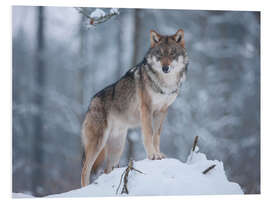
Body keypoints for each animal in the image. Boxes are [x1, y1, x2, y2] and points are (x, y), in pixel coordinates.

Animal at [81, 29, 189, 187]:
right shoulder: (146, 109)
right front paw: (152, 155)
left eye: (172, 54)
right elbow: (149, 133)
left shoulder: (162, 111)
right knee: (85, 170)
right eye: (159, 55)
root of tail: (91, 102)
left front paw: (158, 154)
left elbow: (157, 135)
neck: (165, 84)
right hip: (98, 143)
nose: (165, 68)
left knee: (107, 169)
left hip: (117, 147)